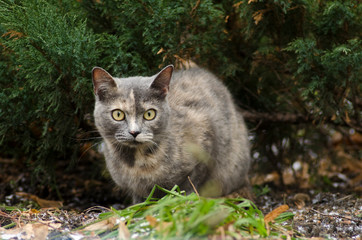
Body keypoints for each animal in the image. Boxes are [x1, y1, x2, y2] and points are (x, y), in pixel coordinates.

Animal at [92, 64, 252, 203]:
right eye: (118, 114)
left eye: (150, 114)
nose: (134, 132)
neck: (137, 163)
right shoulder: (134, 188)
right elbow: (139, 199)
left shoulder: (206, 135)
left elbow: (192, 182)